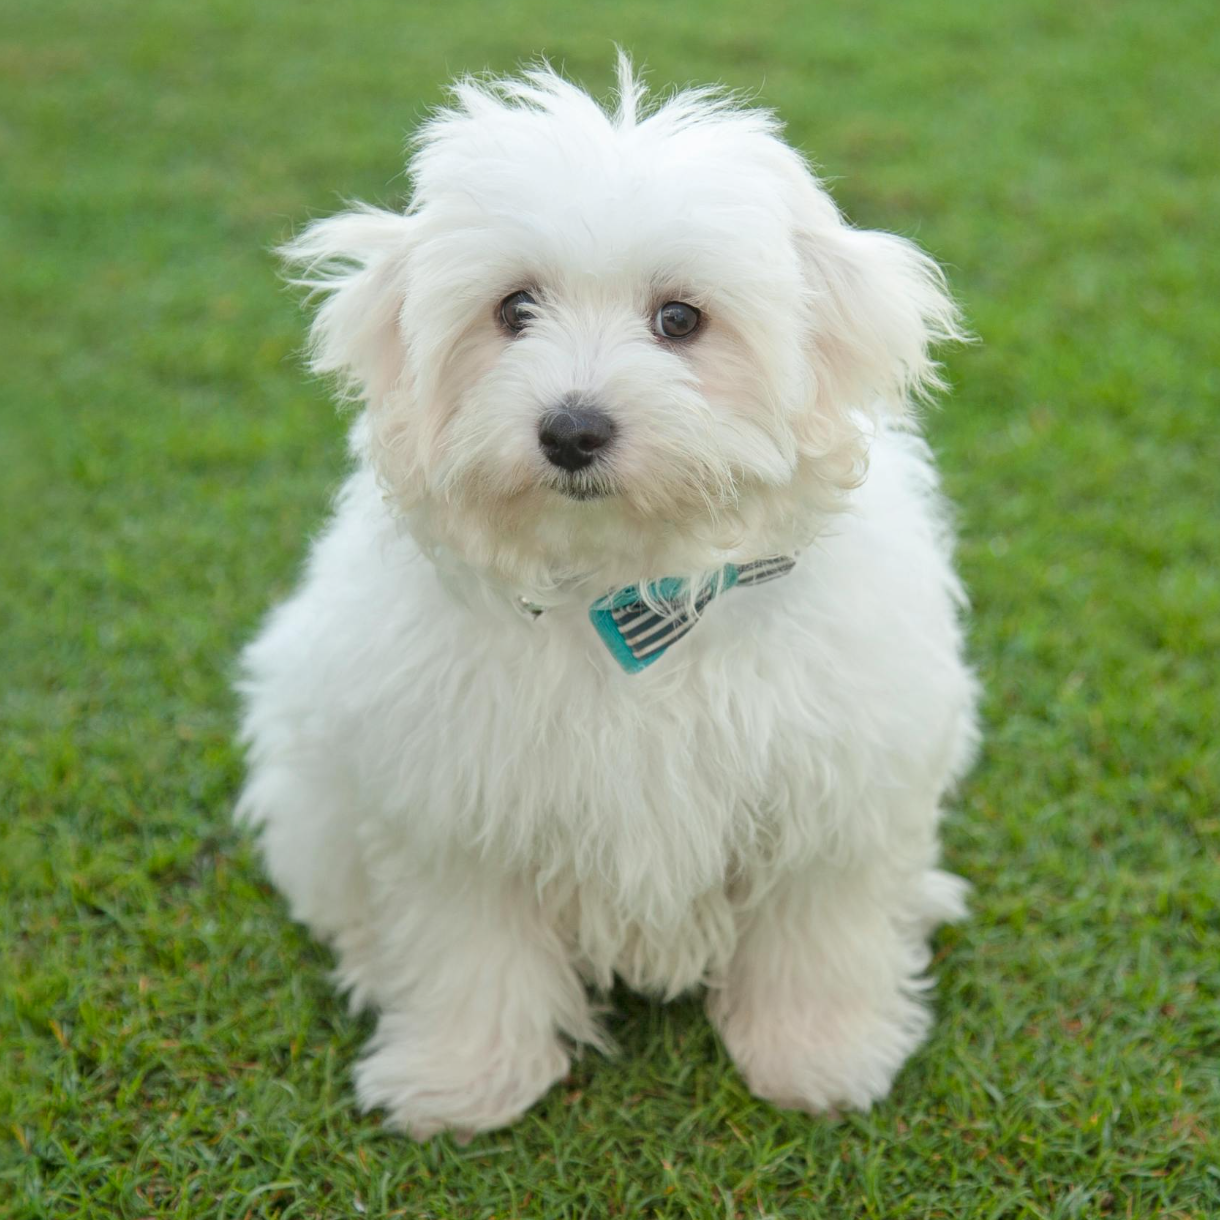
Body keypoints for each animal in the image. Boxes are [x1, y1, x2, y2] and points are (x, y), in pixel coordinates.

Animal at [237, 54, 980, 1141]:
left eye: (679, 319)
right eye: (513, 310)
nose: (572, 428)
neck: (629, 585)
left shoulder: (830, 783)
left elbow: (817, 929)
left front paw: (817, 1054)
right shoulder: (458, 797)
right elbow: (469, 945)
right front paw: (463, 1078)